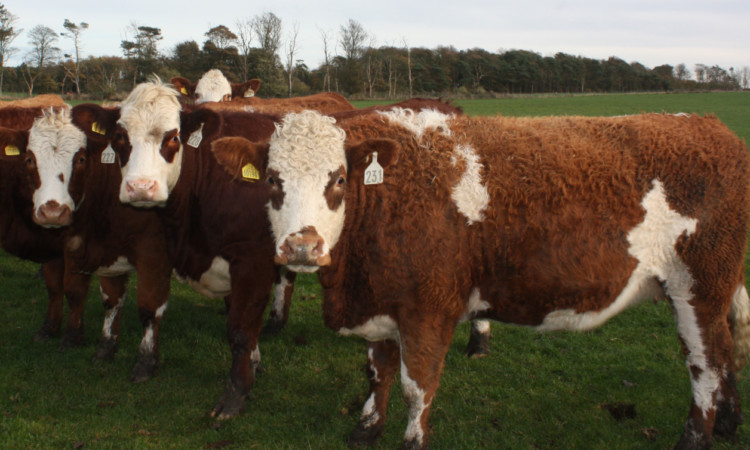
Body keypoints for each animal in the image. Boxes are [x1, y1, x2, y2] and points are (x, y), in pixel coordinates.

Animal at [0, 108, 172, 380]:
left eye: (80, 159)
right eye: (29, 160)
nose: (52, 212)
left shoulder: (154, 253)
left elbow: (149, 307)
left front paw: (145, 362)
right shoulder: (80, 247)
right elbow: (74, 291)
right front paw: (63, 333)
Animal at [210, 110, 750, 450]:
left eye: (338, 179)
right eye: (273, 180)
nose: (302, 247)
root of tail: (710, 126)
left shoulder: (429, 306)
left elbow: (416, 386)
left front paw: (412, 440)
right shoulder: (384, 295)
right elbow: (377, 370)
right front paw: (366, 427)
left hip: (699, 286)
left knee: (706, 364)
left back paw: (696, 437)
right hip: (717, 287)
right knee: (728, 349)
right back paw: (728, 422)